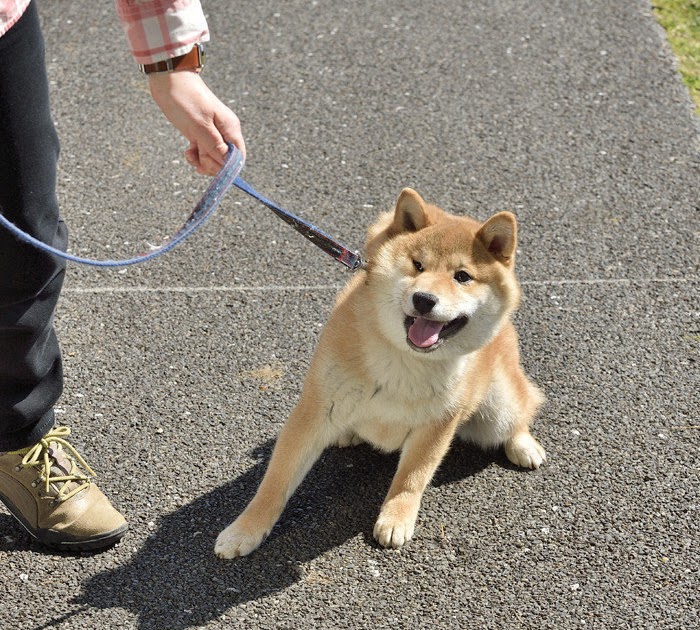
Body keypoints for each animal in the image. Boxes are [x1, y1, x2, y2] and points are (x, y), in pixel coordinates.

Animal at [216, 190, 544, 560]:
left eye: (462, 276)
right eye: (418, 266)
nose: (424, 299)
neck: (404, 358)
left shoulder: (439, 422)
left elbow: (412, 477)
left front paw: (396, 518)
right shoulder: (315, 408)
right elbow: (276, 480)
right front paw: (245, 530)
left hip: (500, 404)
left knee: (522, 409)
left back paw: (524, 444)